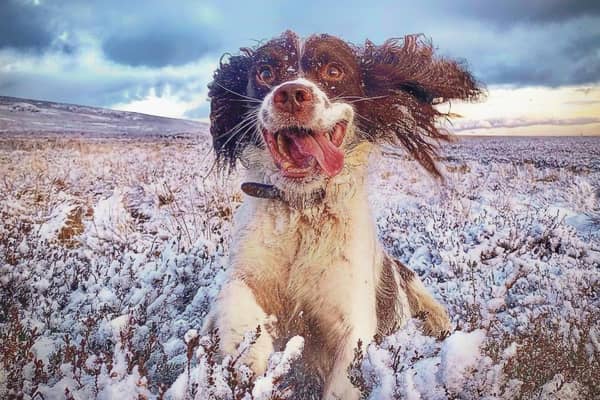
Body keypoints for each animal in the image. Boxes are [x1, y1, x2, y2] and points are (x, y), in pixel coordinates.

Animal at [204, 29, 480, 398]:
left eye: (334, 71)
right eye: (264, 72)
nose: (291, 95)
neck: (303, 209)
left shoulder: (352, 321)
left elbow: (342, 377)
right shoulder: (246, 270)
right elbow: (234, 294)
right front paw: (249, 350)